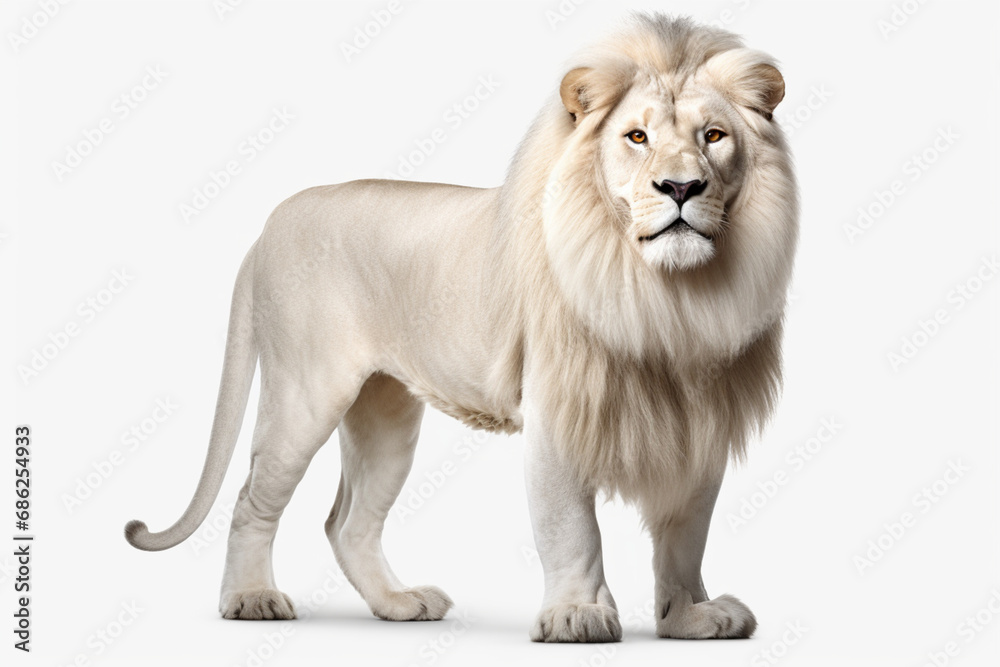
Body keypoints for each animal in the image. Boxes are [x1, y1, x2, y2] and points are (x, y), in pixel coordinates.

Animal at [125, 14, 797, 643]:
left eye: (713, 136)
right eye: (637, 137)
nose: (681, 186)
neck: (669, 295)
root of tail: (269, 225)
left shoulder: (702, 421)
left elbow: (686, 535)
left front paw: (690, 618)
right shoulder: (558, 411)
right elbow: (571, 527)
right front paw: (577, 616)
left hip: (384, 413)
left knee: (347, 522)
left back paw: (399, 605)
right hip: (305, 391)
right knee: (252, 501)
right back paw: (251, 600)